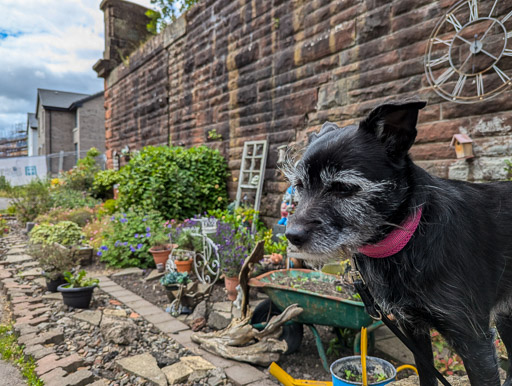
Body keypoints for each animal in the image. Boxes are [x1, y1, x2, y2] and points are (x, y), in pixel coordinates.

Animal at [284, 102, 512, 386]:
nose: (291, 235)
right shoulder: (413, 330)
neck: (410, 237)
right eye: (299, 185)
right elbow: (427, 376)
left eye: (344, 187)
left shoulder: (474, 341)